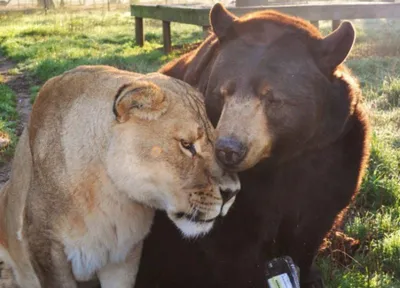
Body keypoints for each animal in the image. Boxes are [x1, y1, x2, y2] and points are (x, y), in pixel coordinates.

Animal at [135, 2, 372, 288]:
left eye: (272, 99)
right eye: (223, 92)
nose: (228, 149)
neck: (277, 160)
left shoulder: (333, 148)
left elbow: (313, 222)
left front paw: (309, 274)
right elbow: (233, 243)